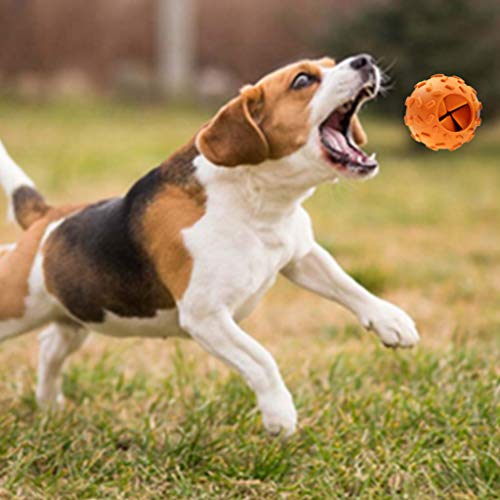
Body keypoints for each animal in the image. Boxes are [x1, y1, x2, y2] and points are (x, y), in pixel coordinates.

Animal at [0, 54, 418, 436]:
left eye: (331, 64)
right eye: (302, 80)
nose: (364, 60)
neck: (258, 201)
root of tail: (46, 218)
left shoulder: (300, 255)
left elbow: (347, 285)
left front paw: (392, 321)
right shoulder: (207, 316)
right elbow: (261, 359)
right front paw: (279, 414)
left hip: (77, 316)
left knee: (49, 346)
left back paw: (49, 405)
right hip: (18, 305)